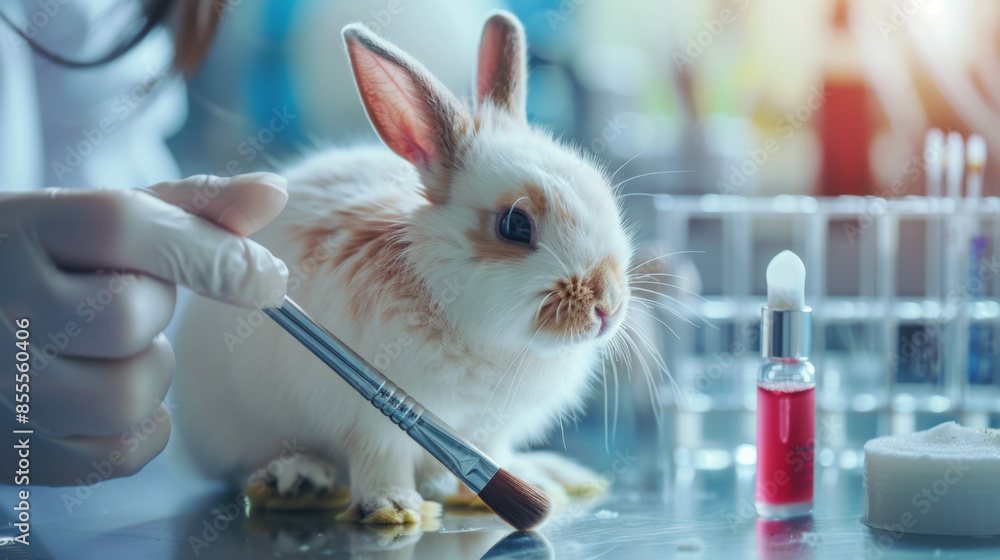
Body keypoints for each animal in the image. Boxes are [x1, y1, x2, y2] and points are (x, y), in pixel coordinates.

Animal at [174, 9, 632, 524]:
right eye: (515, 225)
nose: (607, 308)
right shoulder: (372, 420)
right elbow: (380, 458)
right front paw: (391, 508)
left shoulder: (491, 430)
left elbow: (493, 457)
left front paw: (504, 490)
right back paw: (299, 479)